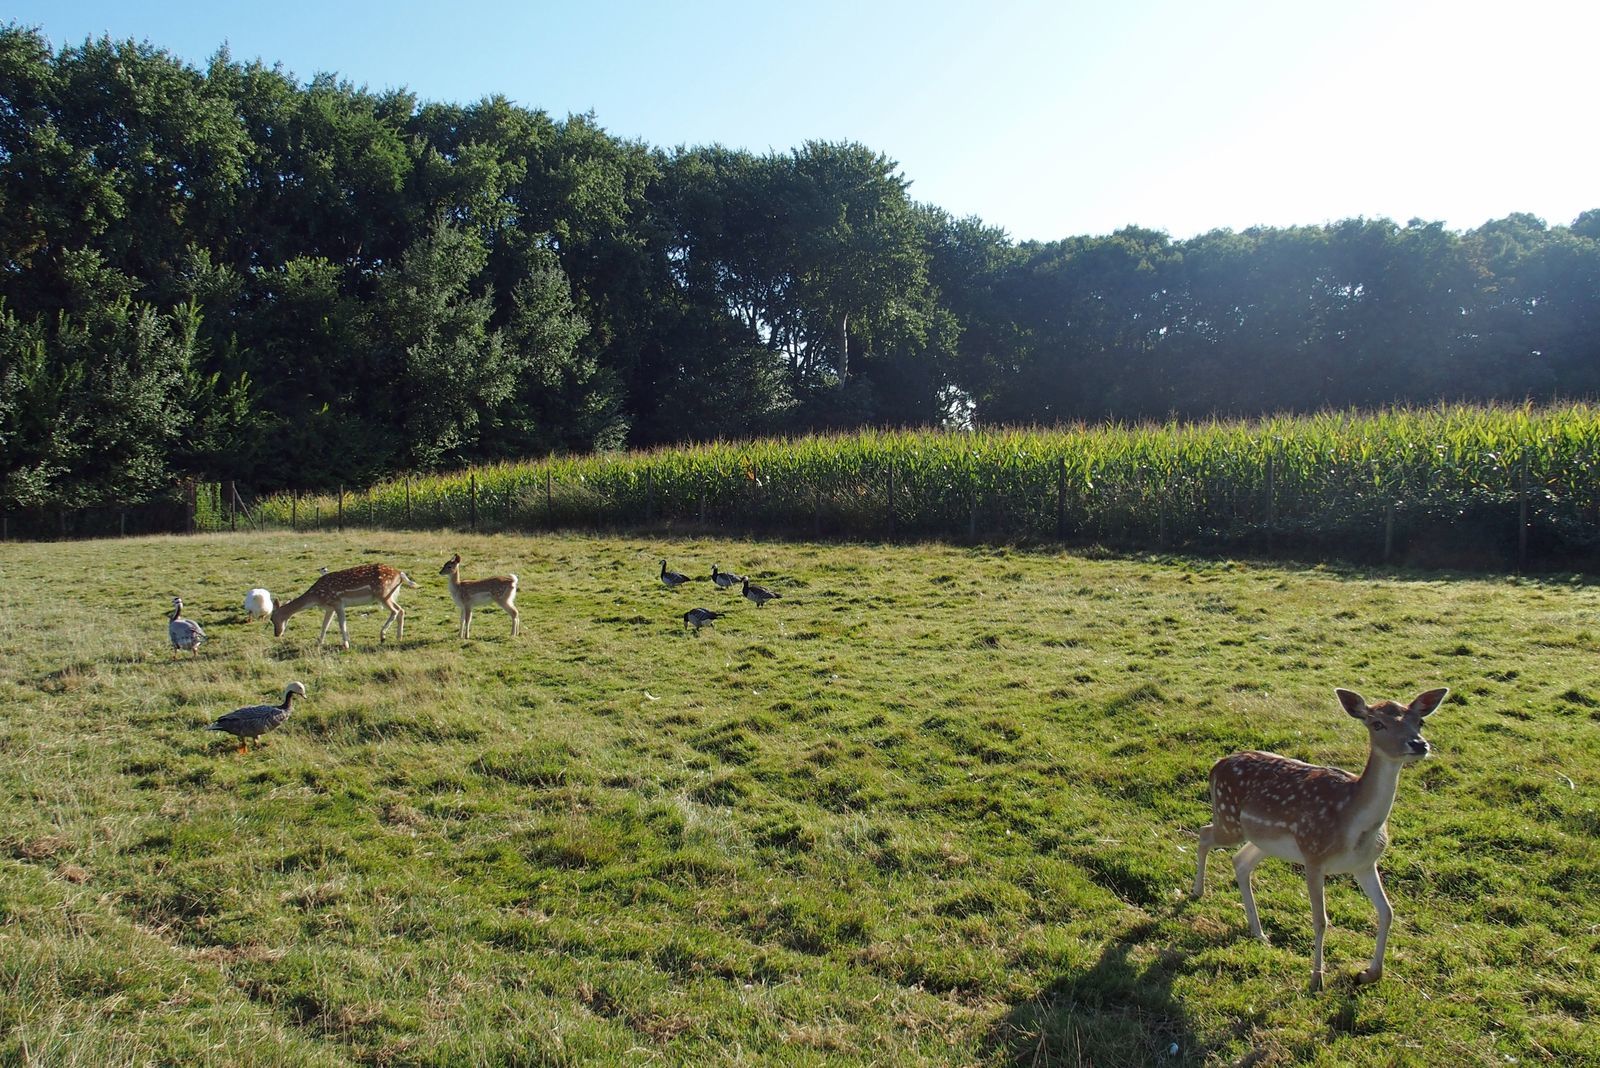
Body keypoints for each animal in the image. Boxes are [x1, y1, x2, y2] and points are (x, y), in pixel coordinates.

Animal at [268, 559, 419, 652]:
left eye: (272, 619)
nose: (276, 634)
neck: (317, 596)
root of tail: (400, 574)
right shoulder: (329, 608)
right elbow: (325, 625)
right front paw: (319, 643)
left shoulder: (337, 602)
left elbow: (342, 624)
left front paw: (346, 645)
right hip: (388, 595)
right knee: (401, 610)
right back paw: (399, 637)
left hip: (383, 594)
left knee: (396, 610)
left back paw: (383, 636)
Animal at [1190, 687, 1452, 991]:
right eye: (1377, 724)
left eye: (1419, 722)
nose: (1419, 744)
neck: (1354, 823)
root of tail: (1215, 766)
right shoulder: (1314, 856)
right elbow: (1321, 920)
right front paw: (1317, 979)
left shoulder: (1364, 863)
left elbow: (1387, 911)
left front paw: (1369, 973)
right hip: (1229, 819)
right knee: (1204, 834)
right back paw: (1198, 891)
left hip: (1264, 839)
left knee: (1240, 861)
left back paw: (1258, 932)